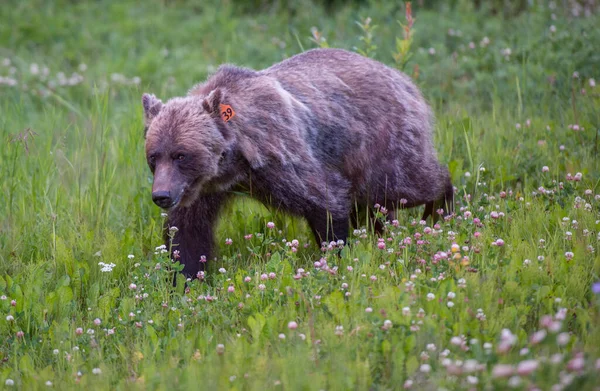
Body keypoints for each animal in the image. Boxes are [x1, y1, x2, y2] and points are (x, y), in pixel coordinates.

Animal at [143, 47, 452, 278]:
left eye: (181, 154)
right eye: (154, 156)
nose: (161, 195)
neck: (234, 164)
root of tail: (401, 77)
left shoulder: (284, 159)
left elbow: (325, 200)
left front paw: (336, 256)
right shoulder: (200, 189)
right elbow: (187, 234)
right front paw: (184, 279)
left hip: (381, 142)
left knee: (405, 184)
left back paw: (440, 207)